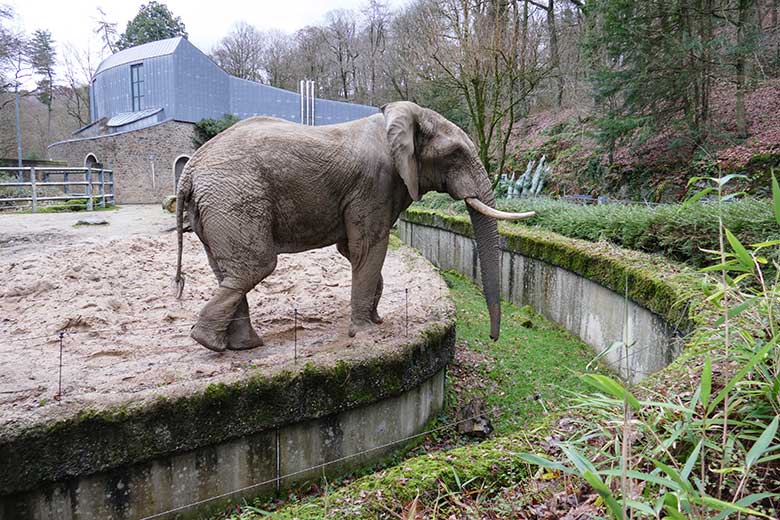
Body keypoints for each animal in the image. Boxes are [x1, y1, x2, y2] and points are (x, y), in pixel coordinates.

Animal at [174, 100, 532, 354]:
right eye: (455, 154)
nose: (493, 338)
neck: (402, 117)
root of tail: (189, 170)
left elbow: (354, 250)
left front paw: (376, 321)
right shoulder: (375, 183)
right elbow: (368, 247)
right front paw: (367, 332)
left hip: (216, 208)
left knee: (230, 272)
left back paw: (238, 345)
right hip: (234, 199)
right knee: (255, 267)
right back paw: (210, 342)